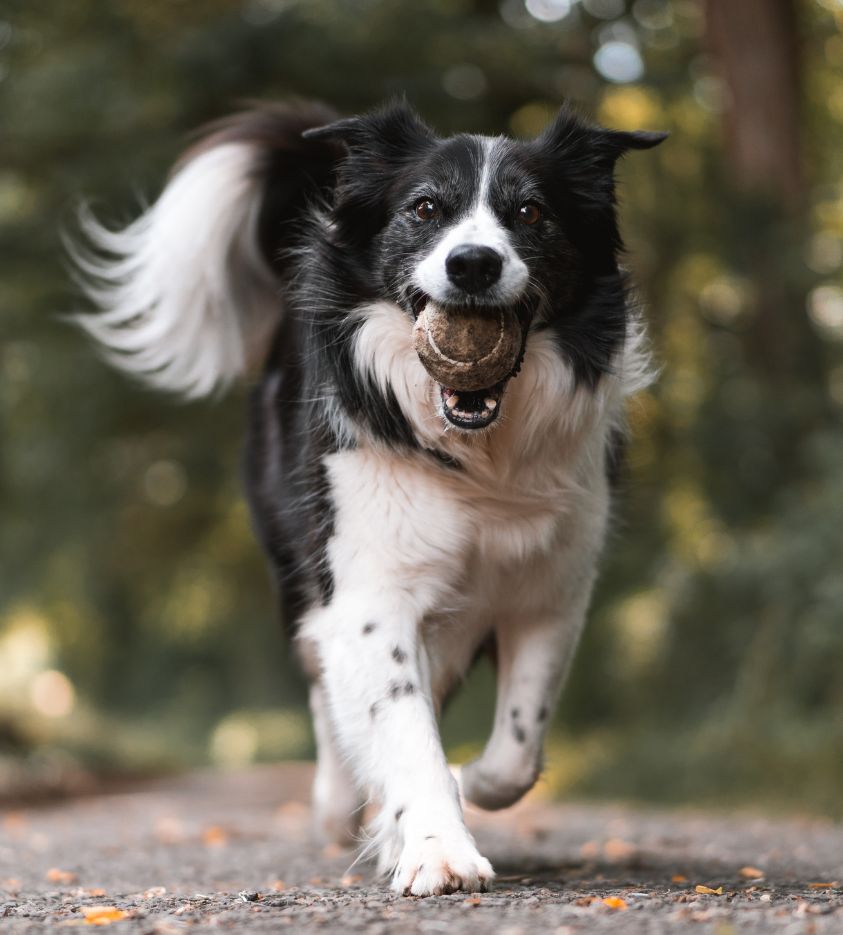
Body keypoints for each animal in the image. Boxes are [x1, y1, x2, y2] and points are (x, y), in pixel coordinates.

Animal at [71, 98, 664, 896]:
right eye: (425, 208)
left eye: (531, 212)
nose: (472, 262)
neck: (479, 454)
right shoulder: (367, 588)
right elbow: (401, 725)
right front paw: (438, 849)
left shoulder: (550, 589)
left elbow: (516, 748)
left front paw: (463, 787)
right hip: (301, 572)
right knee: (328, 693)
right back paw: (338, 806)